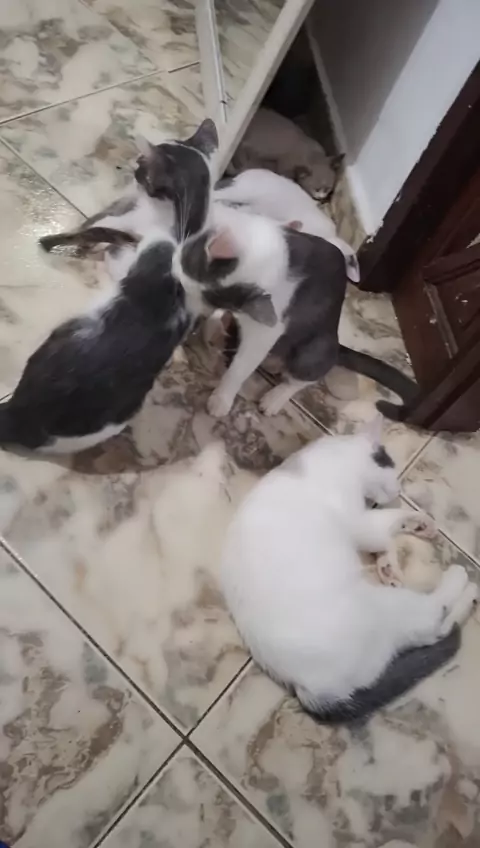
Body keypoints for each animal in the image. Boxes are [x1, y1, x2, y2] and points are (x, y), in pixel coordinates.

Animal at [172, 204, 418, 418]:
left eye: (189, 264)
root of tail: (338, 344)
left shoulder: (267, 329)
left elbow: (241, 367)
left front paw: (221, 399)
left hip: (316, 348)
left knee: (304, 376)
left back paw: (274, 398)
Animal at [220, 416, 478, 722]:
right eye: (391, 466)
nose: (398, 490)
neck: (336, 456)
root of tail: (310, 689)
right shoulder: (361, 521)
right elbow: (386, 524)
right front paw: (410, 528)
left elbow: (386, 537)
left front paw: (394, 557)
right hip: (389, 608)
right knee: (433, 618)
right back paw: (464, 582)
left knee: (433, 632)